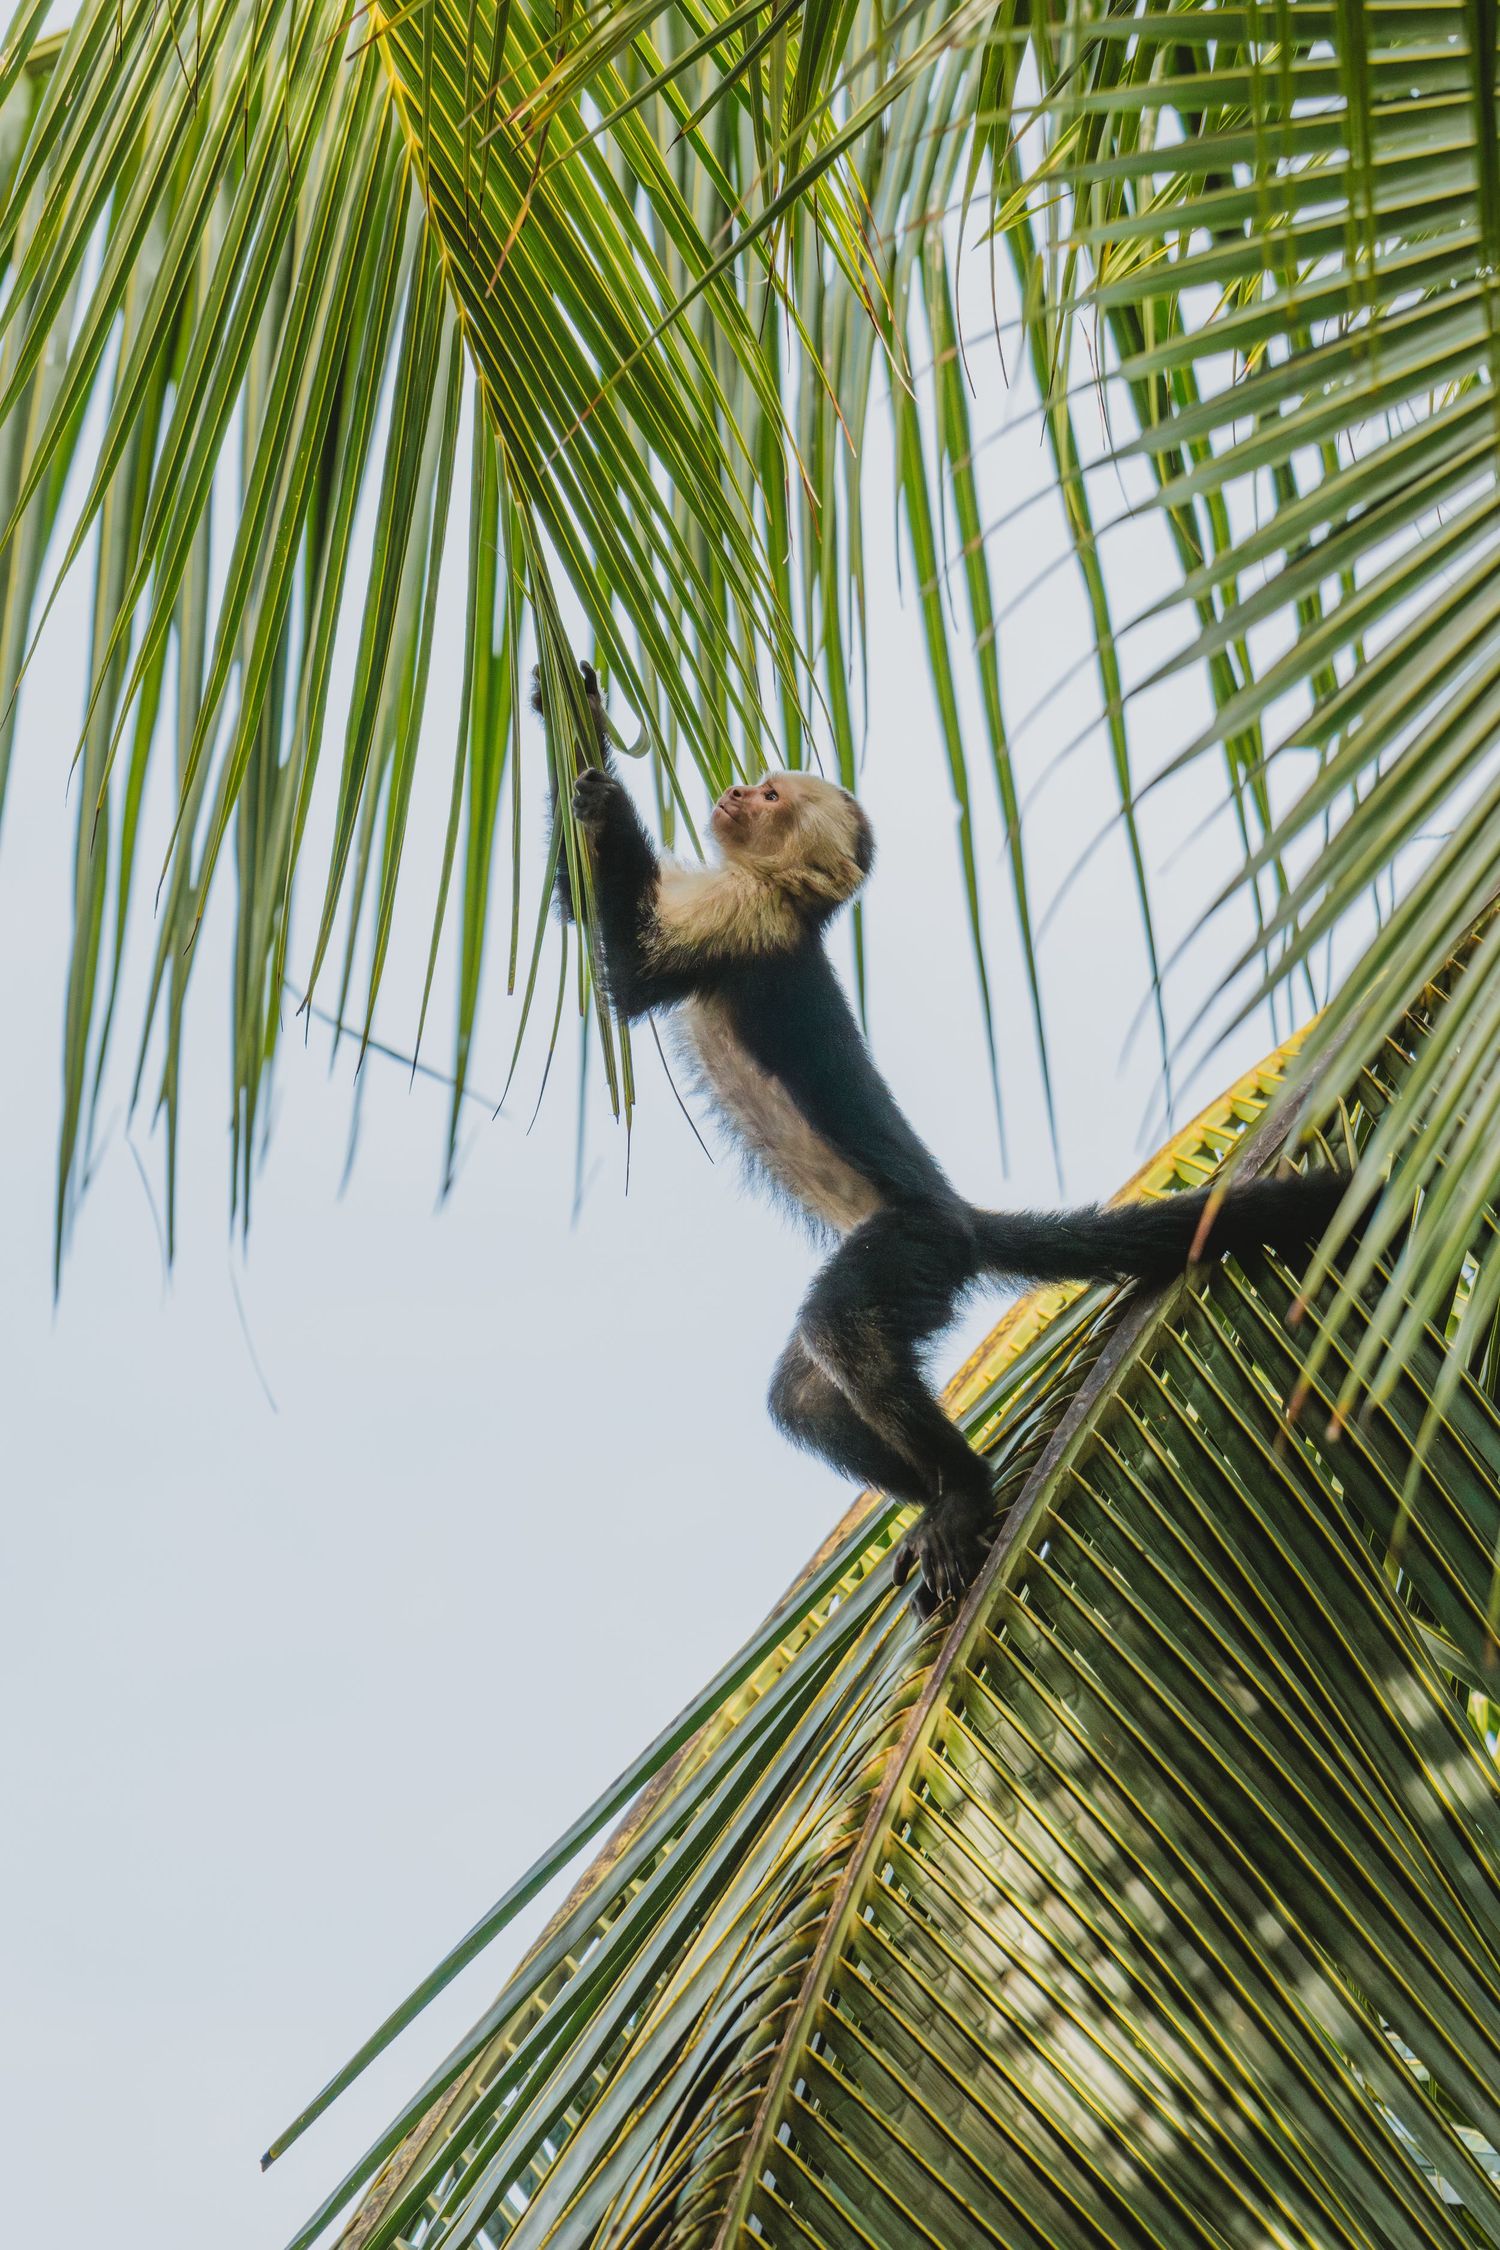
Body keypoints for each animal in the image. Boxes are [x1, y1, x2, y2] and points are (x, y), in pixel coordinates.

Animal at [536, 662, 1344, 1616]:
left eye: (770, 797)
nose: (734, 792)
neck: (782, 897)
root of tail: (959, 1212)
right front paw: (567, 706)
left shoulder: (745, 918)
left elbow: (634, 975)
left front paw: (601, 792)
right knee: (808, 1393)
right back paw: (933, 1497)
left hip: (912, 1243)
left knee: (842, 1327)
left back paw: (964, 1488)